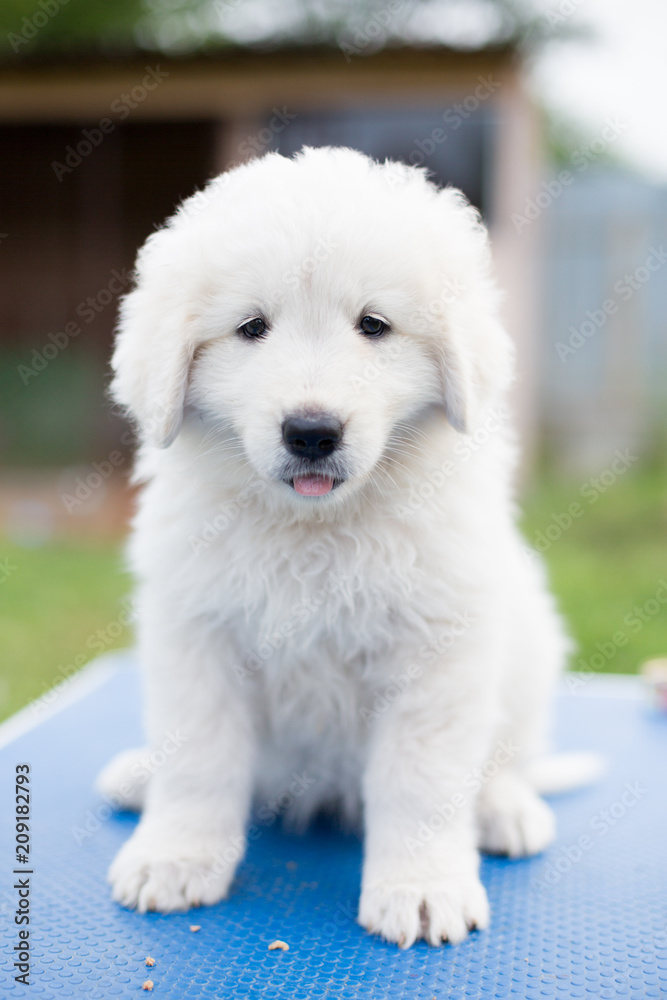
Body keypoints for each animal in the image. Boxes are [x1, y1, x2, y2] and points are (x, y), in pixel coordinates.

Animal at [99, 145, 576, 948]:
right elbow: (198, 758)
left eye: (374, 325)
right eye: (251, 327)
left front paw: (420, 888)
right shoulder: (197, 636)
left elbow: (420, 781)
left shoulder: (434, 651)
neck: (315, 528)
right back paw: (137, 776)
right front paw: (174, 856)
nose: (312, 432)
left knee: (509, 753)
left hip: (527, 645)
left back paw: (504, 809)